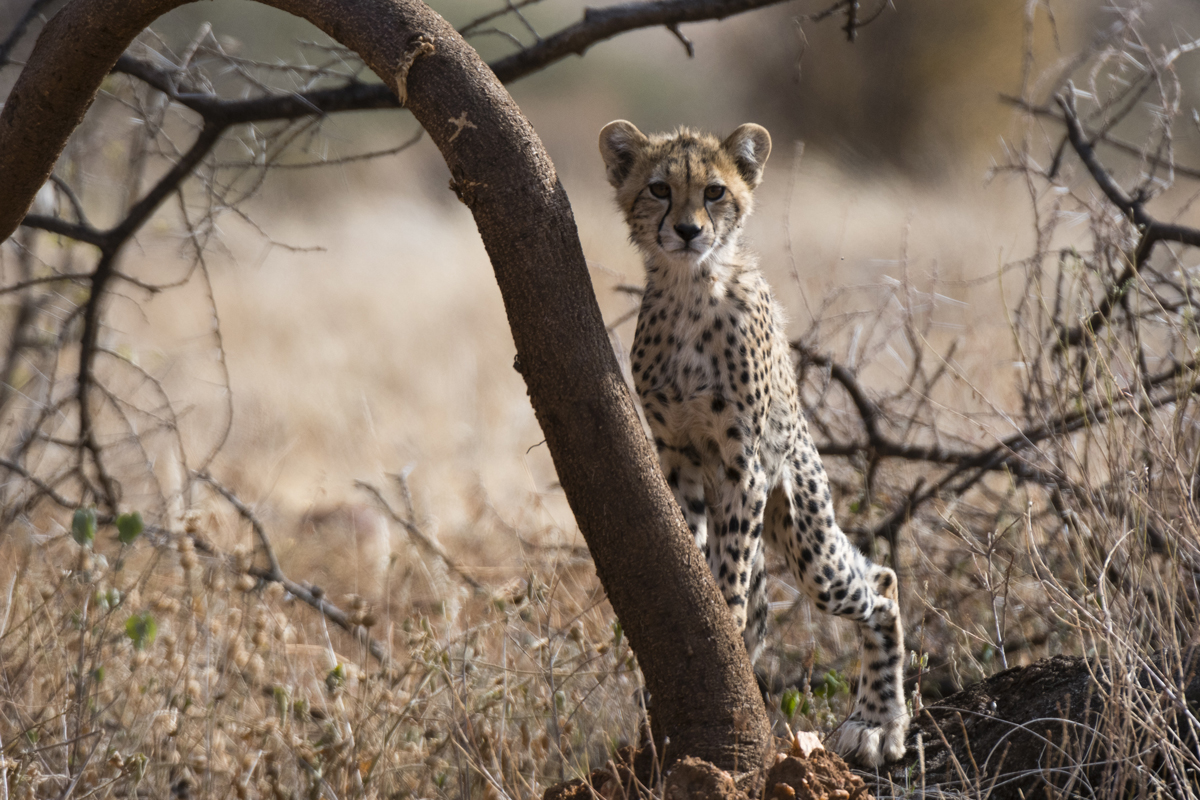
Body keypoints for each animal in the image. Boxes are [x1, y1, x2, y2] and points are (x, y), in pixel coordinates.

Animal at [600, 122, 907, 767]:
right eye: (659, 189)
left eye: (715, 191)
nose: (688, 230)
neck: (692, 289)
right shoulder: (677, 456)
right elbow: (691, 539)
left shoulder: (745, 464)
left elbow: (733, 575)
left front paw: (721, 616)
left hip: (808, 536)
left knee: (881, 584)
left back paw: (879, 722)